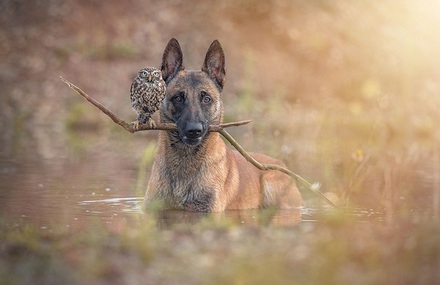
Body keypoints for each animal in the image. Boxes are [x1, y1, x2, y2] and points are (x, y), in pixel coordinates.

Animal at [144, 37, 302, 211]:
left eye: (206, 99)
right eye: (178, 98)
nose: (194, 130)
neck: (184, 162)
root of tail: (280, 164)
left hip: (270, 182)